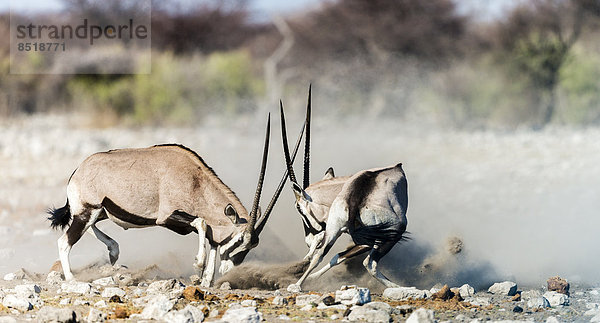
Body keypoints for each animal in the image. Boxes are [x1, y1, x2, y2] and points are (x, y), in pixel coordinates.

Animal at [48, 115, 288, 288]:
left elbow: (212, 239)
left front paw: (206, 280)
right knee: (64, 241)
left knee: (89, 228)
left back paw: (113, 250)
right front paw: (198, 266)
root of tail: (78, 171)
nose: (229, 270)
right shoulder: (168, 218)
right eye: (240, 241)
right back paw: (71, 279)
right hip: (88, 211)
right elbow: (201, 223)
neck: (195, 179)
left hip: (99, 212)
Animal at [280, 91, 408, 294]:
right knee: (370, 263)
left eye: (299, 208)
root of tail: (354, 198)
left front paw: (311, 278)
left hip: (337, 229)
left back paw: (297, 285)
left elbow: (335, 256)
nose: (308, 242)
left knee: (321, 255)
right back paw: (398, 287)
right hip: (392, 231)